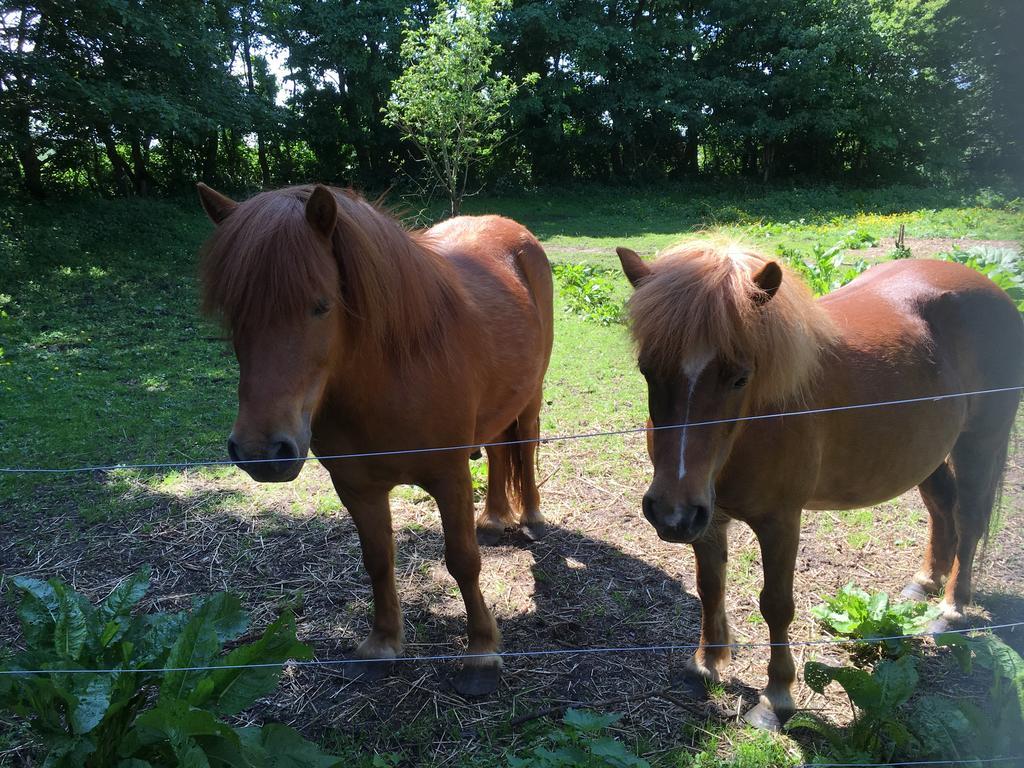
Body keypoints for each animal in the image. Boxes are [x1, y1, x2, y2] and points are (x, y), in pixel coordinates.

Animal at [197, 183, 552, 696]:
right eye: (232, 311)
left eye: (321, 305)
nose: (262, 453)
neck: (391, 376)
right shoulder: (356, 487)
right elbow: (378, 559)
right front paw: (382, 644)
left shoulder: (449, 478)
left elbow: (463, 561)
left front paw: (481, 652)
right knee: (500, 449)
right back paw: (493, 519)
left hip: (531, 394)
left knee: (523, 446)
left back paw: (531, 517)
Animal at [610, 241, 1019, 733]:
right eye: (648, 369)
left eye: (740, 377)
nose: (670, 514)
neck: (755, 420)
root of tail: (990, 288)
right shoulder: (706, 519)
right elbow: (710, 587)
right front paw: (706, 664)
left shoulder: (780, 521)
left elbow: (776, 605)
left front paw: (776, 698)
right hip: (927, 453)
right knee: (943, 510)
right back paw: (924, 584)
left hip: (979, 441)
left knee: (970, 519)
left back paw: (950, 610)